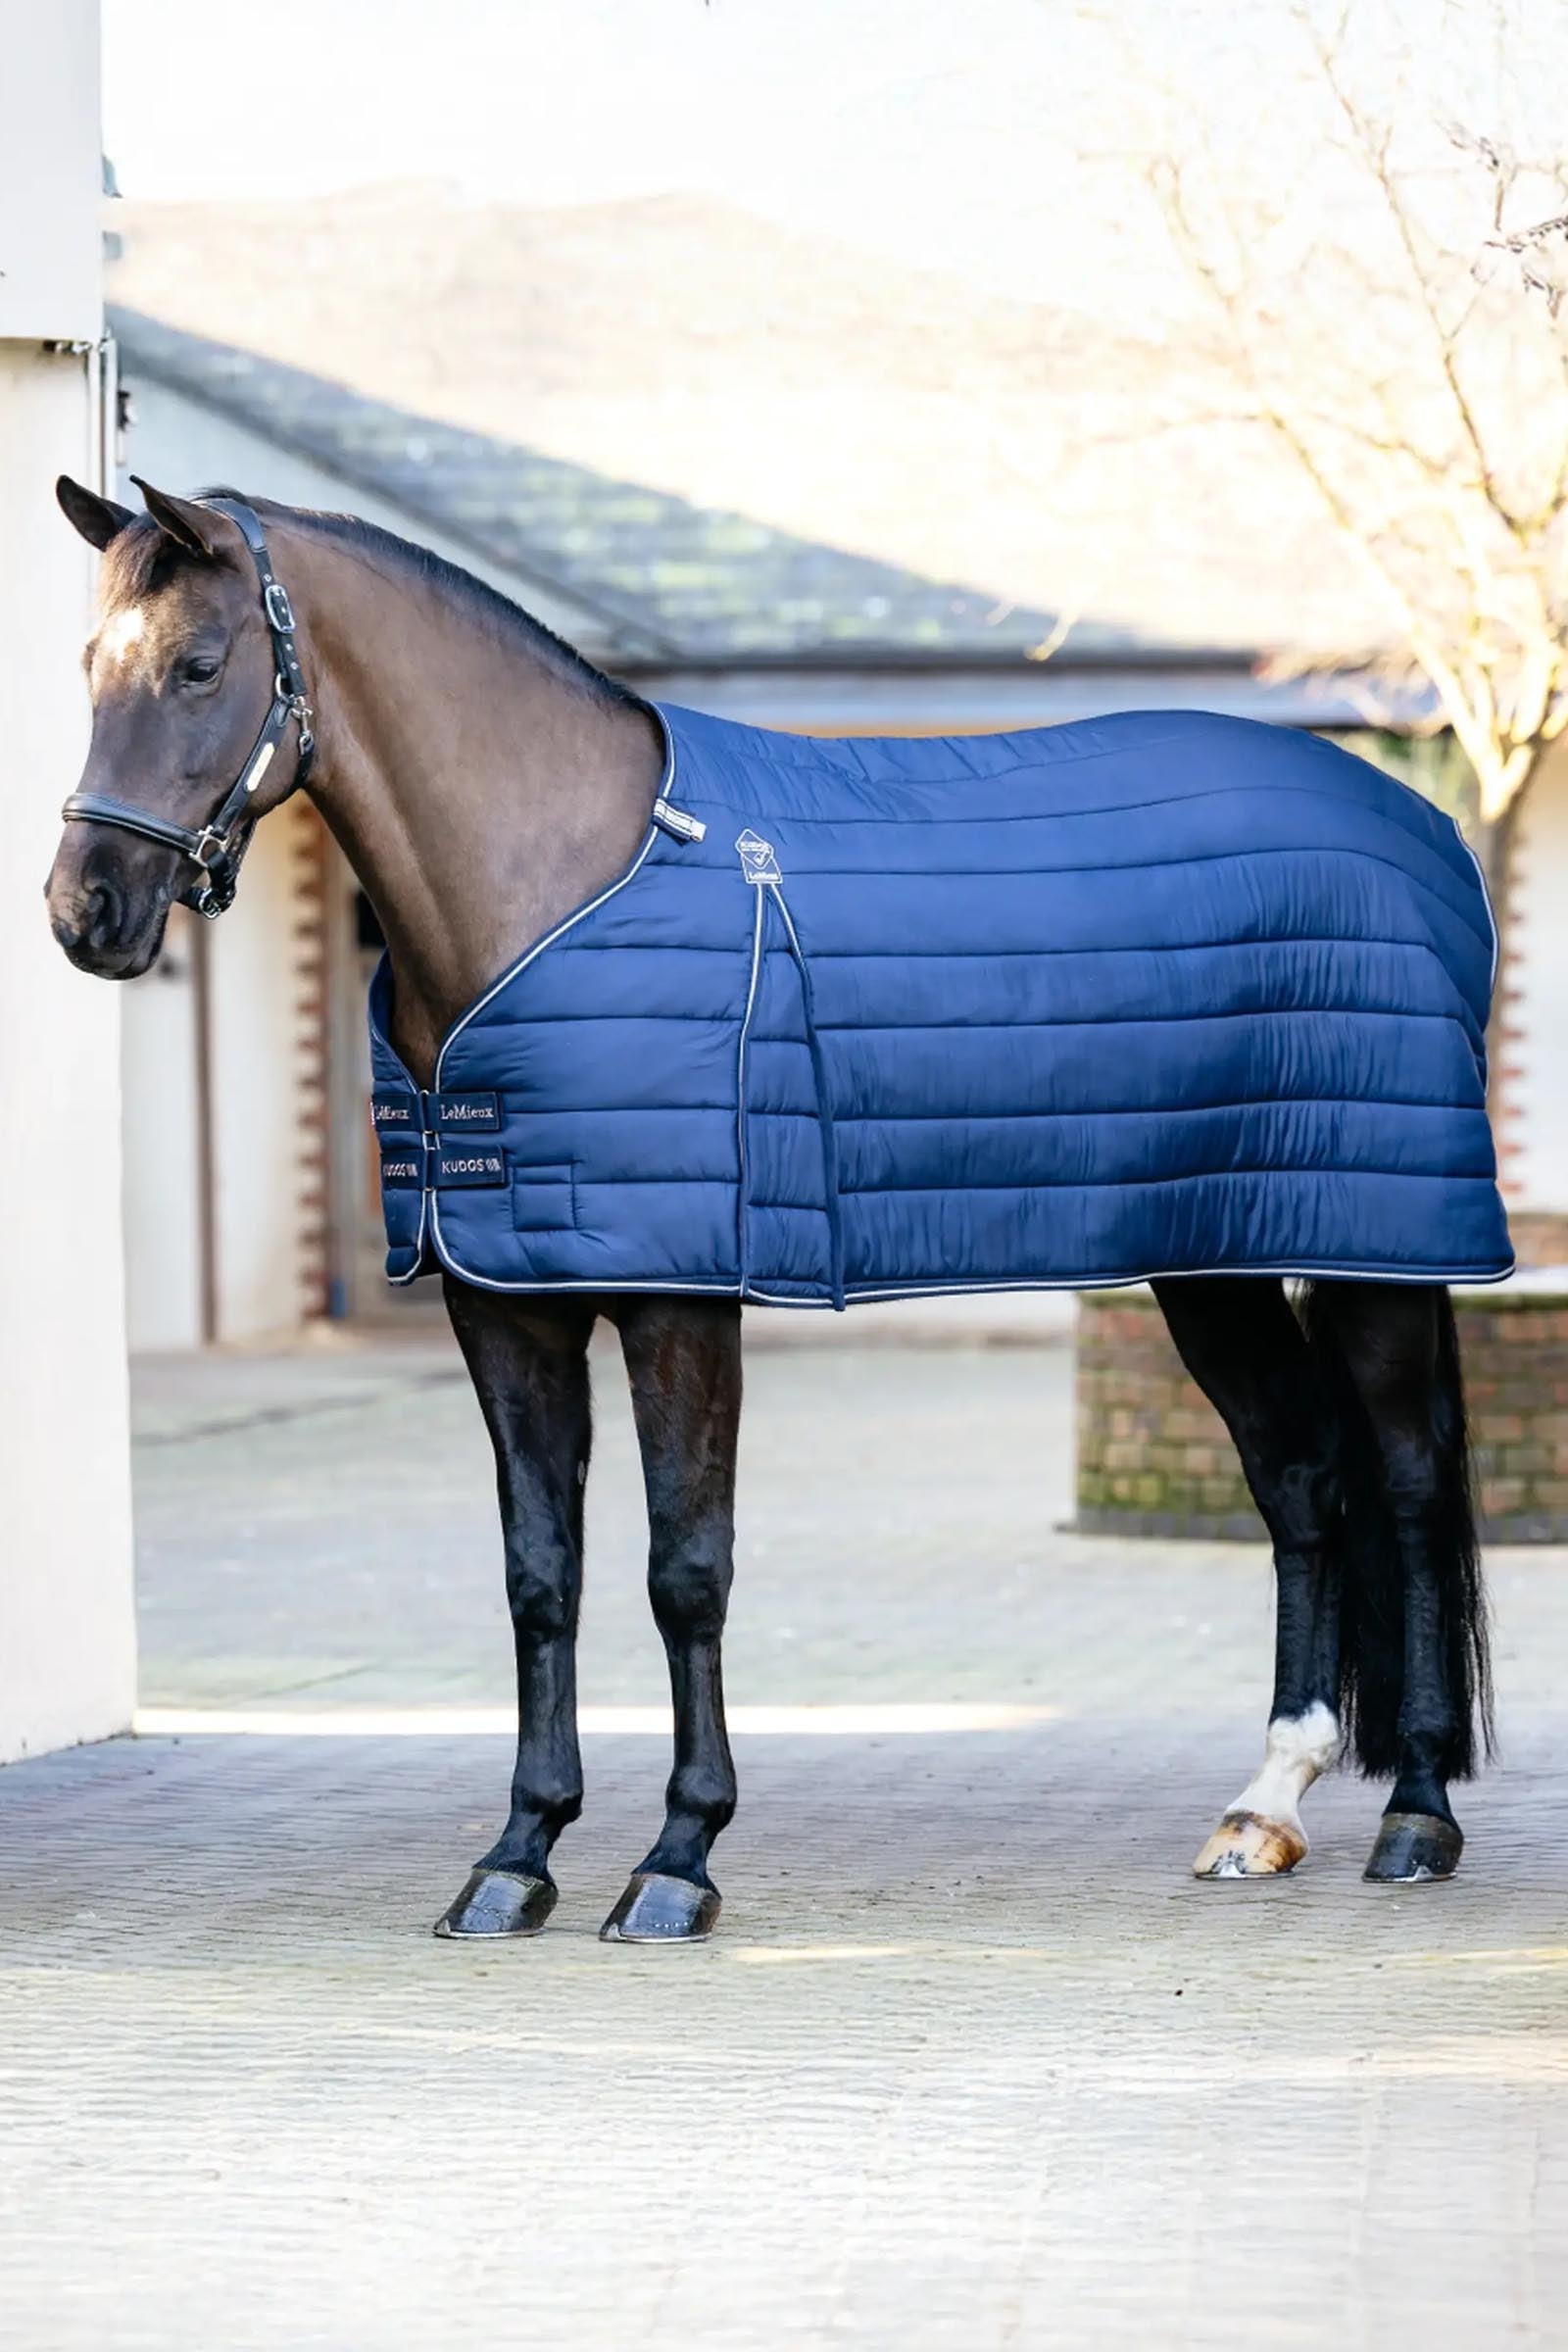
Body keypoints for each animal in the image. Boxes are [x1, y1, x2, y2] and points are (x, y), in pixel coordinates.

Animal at [46, 476, 1497, 1940]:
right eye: (88, 664)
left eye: (200, 665)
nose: (83, 909)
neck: (554, 889)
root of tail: (1425, 832)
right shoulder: (506, 1305)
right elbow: (540, 1576)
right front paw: (517, 1855)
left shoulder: (681, 1303)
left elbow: (685, 1571)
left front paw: (677, 1860)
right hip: (1218, 1256)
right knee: (1299, 1477)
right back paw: (1265, 1805)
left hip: (1376, 1259)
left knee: (1410, 1484)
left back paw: (1416, 1814)